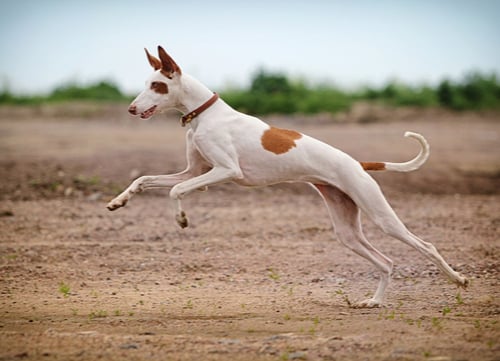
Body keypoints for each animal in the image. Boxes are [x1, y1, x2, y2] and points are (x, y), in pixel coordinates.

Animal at [106, 45, 468, 306]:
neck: (204, 115)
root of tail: (358, 163)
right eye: (146, 85)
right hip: (346, 230)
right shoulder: (195, 171)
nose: (131, 109)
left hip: (381, 215)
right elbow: (145, 180)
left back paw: (458, 279)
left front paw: (181, 219)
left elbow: (176, 190)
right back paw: (375, 302)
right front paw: (119, 201)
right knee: (386, 262)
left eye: (157, 85)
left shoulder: (225, 171)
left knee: (425, 245)